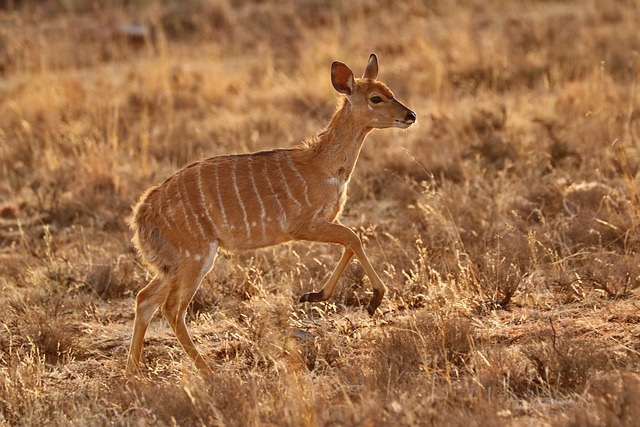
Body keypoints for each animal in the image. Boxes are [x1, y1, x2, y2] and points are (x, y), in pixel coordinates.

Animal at [126, 52, 416, 374]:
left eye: (389, 90)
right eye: (376, 98)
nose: (410, 115)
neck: (323, 166)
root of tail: (141, 215)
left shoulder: (327, 219)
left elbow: (351, 242)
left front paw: (313, 295)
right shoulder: (304, 225)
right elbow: (354, 238)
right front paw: (373, 300)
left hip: (173, 264)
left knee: (145, 298)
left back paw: (133, 372)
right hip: (194, 256)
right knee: (172, 308)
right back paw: (208, 372)